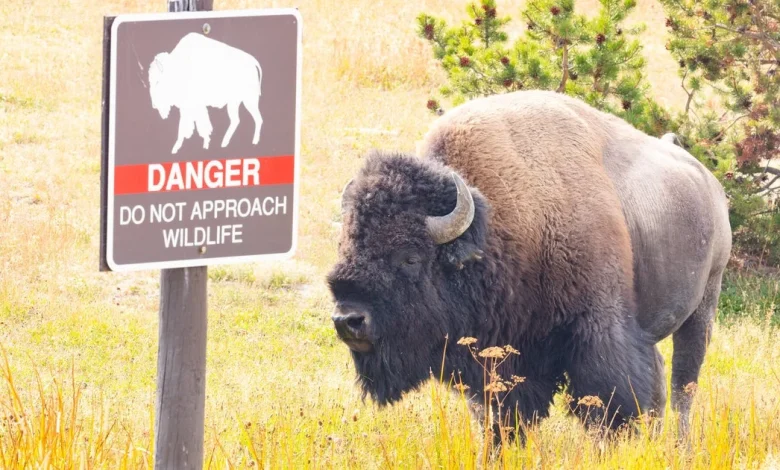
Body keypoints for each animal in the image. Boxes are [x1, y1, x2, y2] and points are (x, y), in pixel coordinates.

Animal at [327, 90, 731, 441]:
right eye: (345, 247)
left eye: (410, 258)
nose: (348, 320)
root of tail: (709, 185)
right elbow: (498, 415)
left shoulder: (597, 331)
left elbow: (608, 402)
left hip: (703, 306)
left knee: (683, 384)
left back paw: (680, 445)